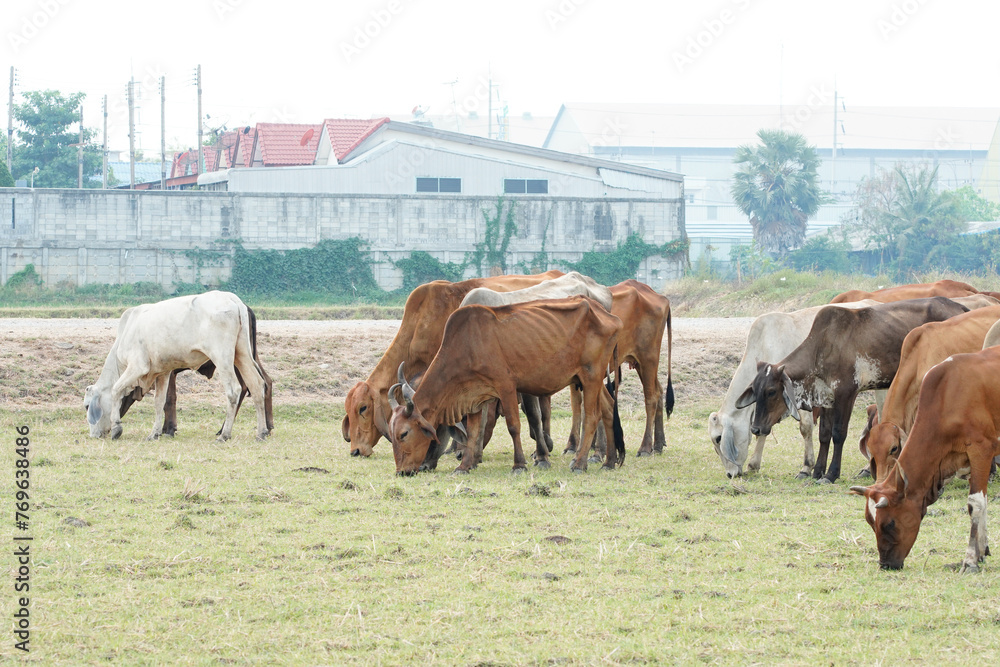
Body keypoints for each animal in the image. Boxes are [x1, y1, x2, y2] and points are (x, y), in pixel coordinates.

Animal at [84, 291, 269, 441]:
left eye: (87, 406)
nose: (94, 435)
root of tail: (233, 300)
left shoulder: (137, 367)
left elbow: (116, 390)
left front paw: (117, 427)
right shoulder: (162, 372)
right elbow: (159, 402)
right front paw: (154, 433)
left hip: (222, 357)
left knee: (234, 390)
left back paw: (224, 434)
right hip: (242, 354)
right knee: (257, 385)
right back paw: (261, 432)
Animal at [387, 296, 624, 475]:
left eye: (404, 434)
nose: (402, 472)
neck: (466, 345)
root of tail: (609, 315)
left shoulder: (507, 386)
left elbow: (513, 426)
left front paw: (519, 465)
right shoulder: (475, 395)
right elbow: (474, 432)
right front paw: (464, 466)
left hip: (591, 376)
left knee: (592, 416)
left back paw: (580, 463)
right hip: (588, 379)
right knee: (608, 408)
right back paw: (609, 461)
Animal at [709, 300, 878, 479]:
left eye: (718, 438)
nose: (730, 474)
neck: (765, 345)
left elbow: (805, 427)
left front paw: (806, 467)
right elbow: (763, 429)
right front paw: (753, 465)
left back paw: (868, 468)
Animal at [735, 297, 969, 483]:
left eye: (771, 391)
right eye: (755, 390)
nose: (756, 428)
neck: (822, 348)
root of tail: (959, 306)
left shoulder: (846, 393)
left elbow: (839, 433)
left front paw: (831, 474)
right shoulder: (826, 396)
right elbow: (824, 434)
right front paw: (817, 471)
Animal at [850, 346, 1000, 571]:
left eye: (890, 523)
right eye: (871, 523)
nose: (886, 564)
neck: (948, 395)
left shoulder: (981, 451)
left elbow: (976, 504)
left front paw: (971, 560)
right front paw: (982, 551)